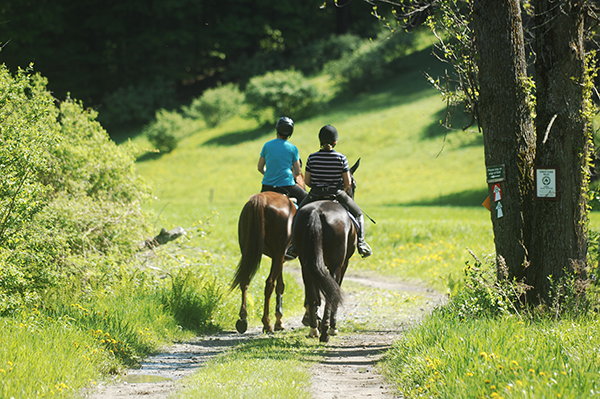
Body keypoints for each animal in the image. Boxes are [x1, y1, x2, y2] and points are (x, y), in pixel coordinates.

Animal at [230, 191, 296, 334]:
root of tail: (261, 199)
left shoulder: (279, 258)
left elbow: (280, 286)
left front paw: (279, 322)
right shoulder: (280, 256)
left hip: (248, 251)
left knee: (245, 280)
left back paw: (243, 319)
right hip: (278, 254)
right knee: (269, 284)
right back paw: (267, 324)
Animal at [292, 161, 358, 342]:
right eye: (354, 184)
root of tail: (317, 212)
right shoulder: (344, 264)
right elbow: (336, 287)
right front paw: (332, 327)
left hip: (306, 263)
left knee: (311, 290)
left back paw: (314, 329)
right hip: (336, 263)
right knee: (332, 290)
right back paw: (326, 331)